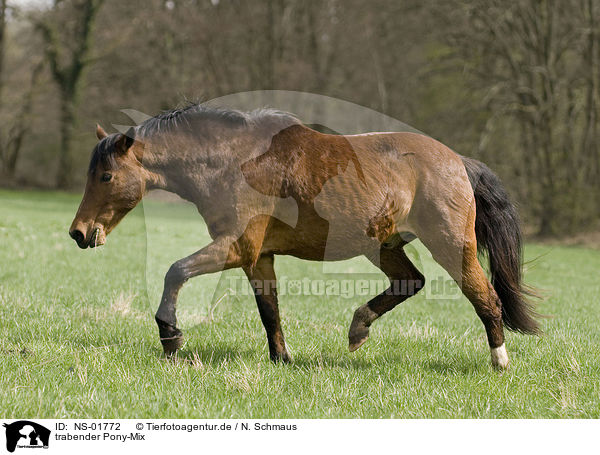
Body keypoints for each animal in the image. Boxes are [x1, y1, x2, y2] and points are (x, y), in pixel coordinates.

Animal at [69, 101, 540, 368]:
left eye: (106, 176)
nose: (79, 233)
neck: (233, 161)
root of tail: (458, 162)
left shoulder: (237, 247)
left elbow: (175, 271)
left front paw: (170, 338)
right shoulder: (258, 257)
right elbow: (270, 311)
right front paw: (282, 359)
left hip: (451, 246)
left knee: (485, 297)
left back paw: (499, 362)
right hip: (383, 246)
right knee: (410, 282)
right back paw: (358, 328)